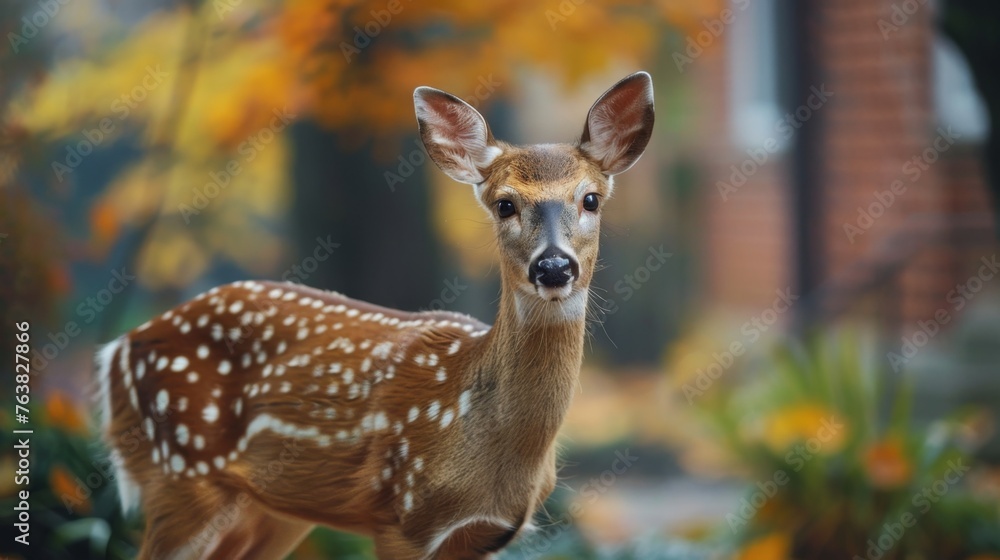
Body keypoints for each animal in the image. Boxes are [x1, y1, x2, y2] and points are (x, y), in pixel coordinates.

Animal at [95, 72, 656, 556]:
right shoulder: (402, 517)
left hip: (271, 508)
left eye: (590, 199)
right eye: (504, 204)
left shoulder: (481, 537)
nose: (554, 267)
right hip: (178, 473)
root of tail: (118, 348)